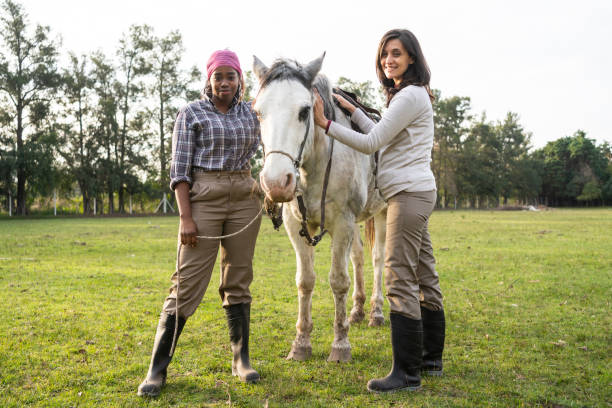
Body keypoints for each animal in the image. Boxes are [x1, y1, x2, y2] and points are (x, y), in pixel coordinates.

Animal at [253, 52, 388, 362]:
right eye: (258, 112)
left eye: (304, 111)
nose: (276, 182)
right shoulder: (296, 226)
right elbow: (305, 280)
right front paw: (301, 343)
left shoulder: (342, 222)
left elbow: (338, 280)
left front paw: (340, 345)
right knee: (359, 257)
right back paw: (357, 310)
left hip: (382, 213)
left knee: (377, 258)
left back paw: (375, 312)